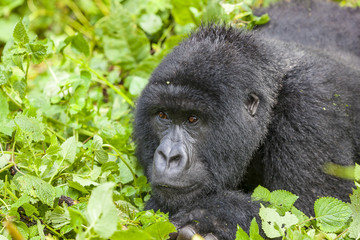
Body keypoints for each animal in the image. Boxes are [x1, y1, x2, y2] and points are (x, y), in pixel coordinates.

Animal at [133, 0, 360, 239]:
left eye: (192, 119)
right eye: (163, 115)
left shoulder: (309, 106)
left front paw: (208, 218)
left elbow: (306, 216)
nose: (168, 156)